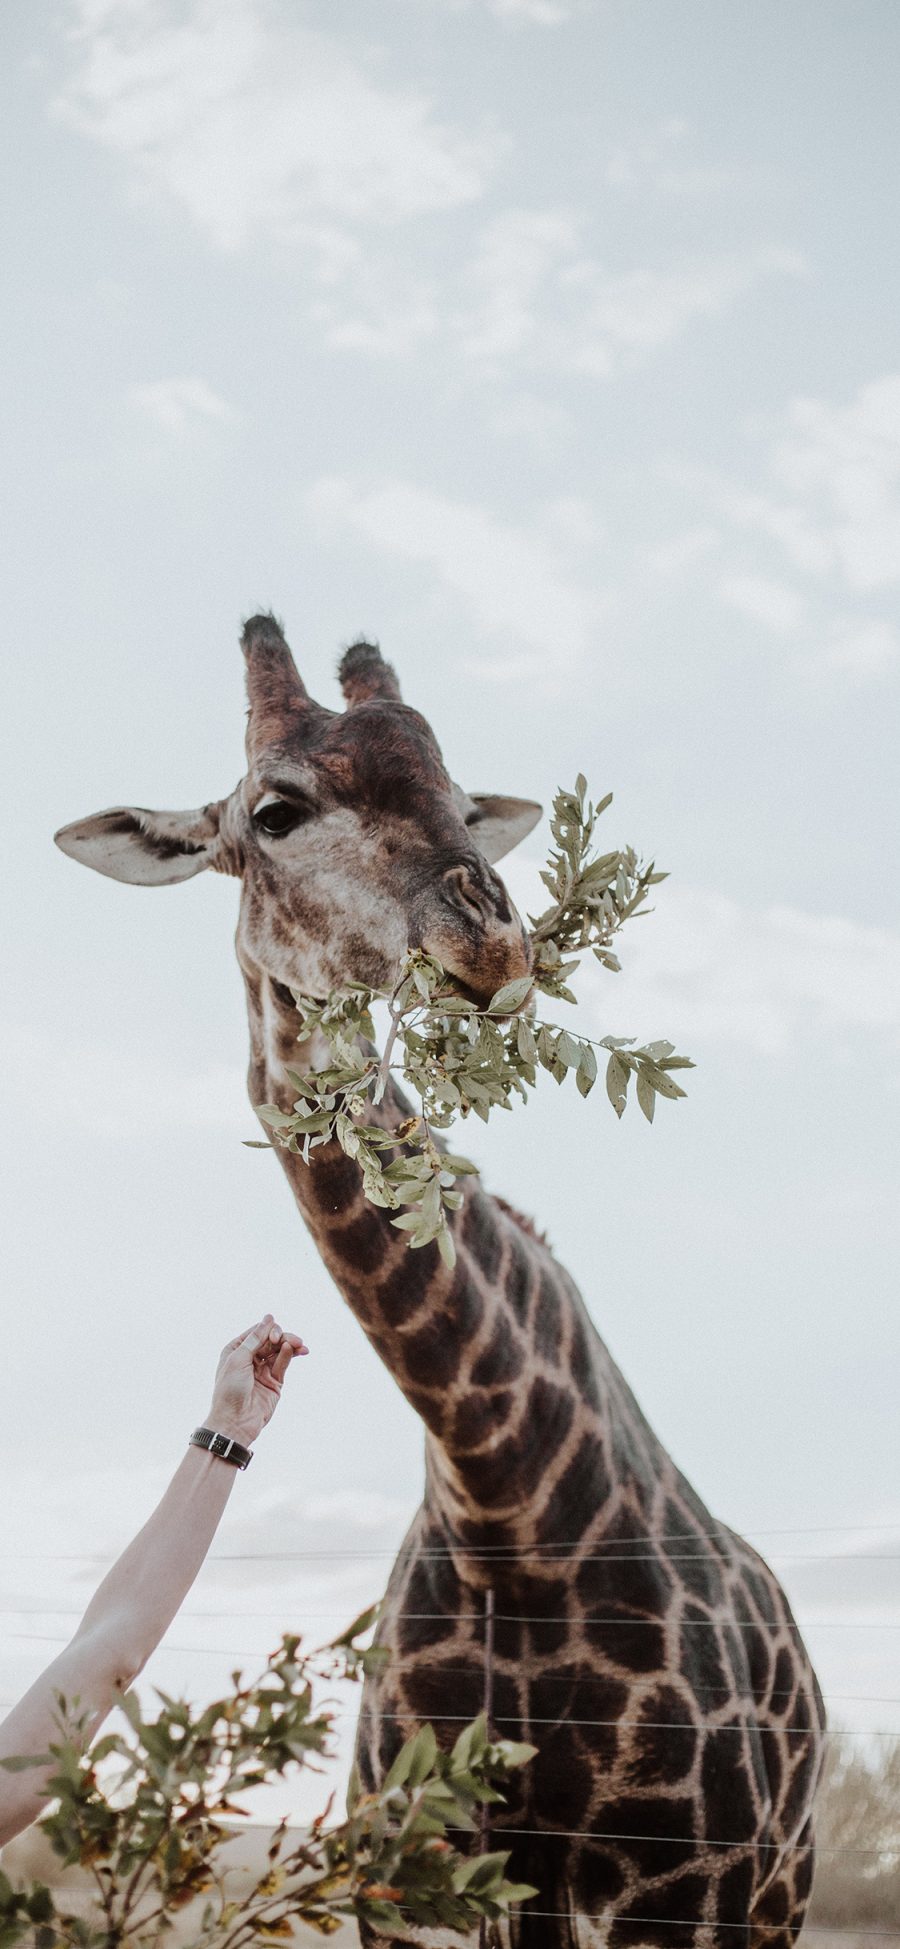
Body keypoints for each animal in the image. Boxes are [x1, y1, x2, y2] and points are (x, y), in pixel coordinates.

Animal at [56, 619, 825, 1949]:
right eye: (275, 810)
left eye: (463, 800)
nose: (492, 941)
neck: (503, 1500)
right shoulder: (416, 1885)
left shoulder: (688, 1896)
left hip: (778, 1897)